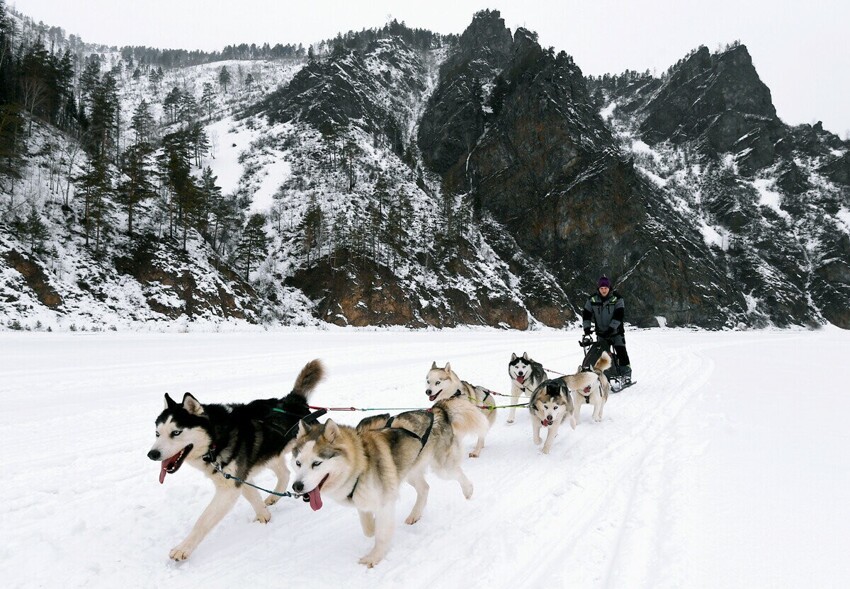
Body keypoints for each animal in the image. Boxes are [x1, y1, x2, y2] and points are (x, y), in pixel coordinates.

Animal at [146, 358, 322, 560]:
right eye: (157, 433)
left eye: (176, 433)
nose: (152, 454)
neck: (215, 440)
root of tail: (293, 400)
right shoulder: (238, 476)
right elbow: (253, 497)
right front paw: (264, 516)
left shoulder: (229, 487)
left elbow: (202, 520)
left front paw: (183, 548)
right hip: (269, 454)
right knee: (284, 473)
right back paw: (273, 497)